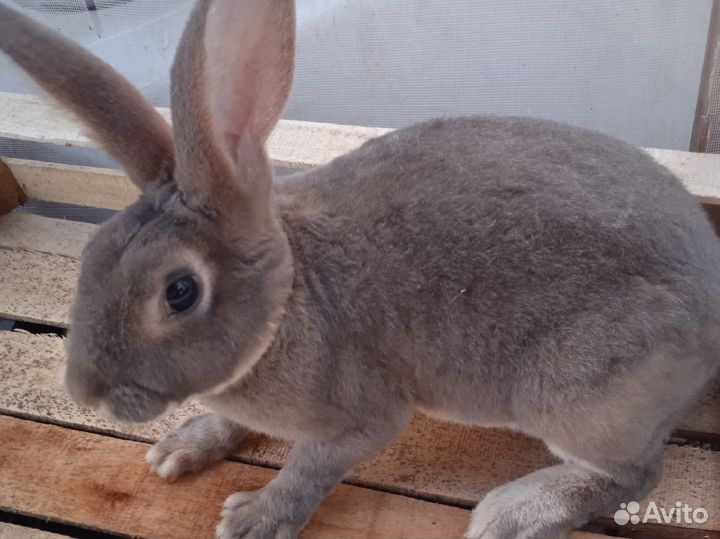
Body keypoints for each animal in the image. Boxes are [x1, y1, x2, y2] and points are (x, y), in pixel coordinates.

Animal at [2, 0, 720, 537]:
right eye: (94, 252)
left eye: (180, 291)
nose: (83, 392)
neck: (288, 299)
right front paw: (179, 447)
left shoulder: (359, 422)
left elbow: (308, 470)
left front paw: (253, 518)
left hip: (579, 397)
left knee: (634, 476)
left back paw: (510, 513)